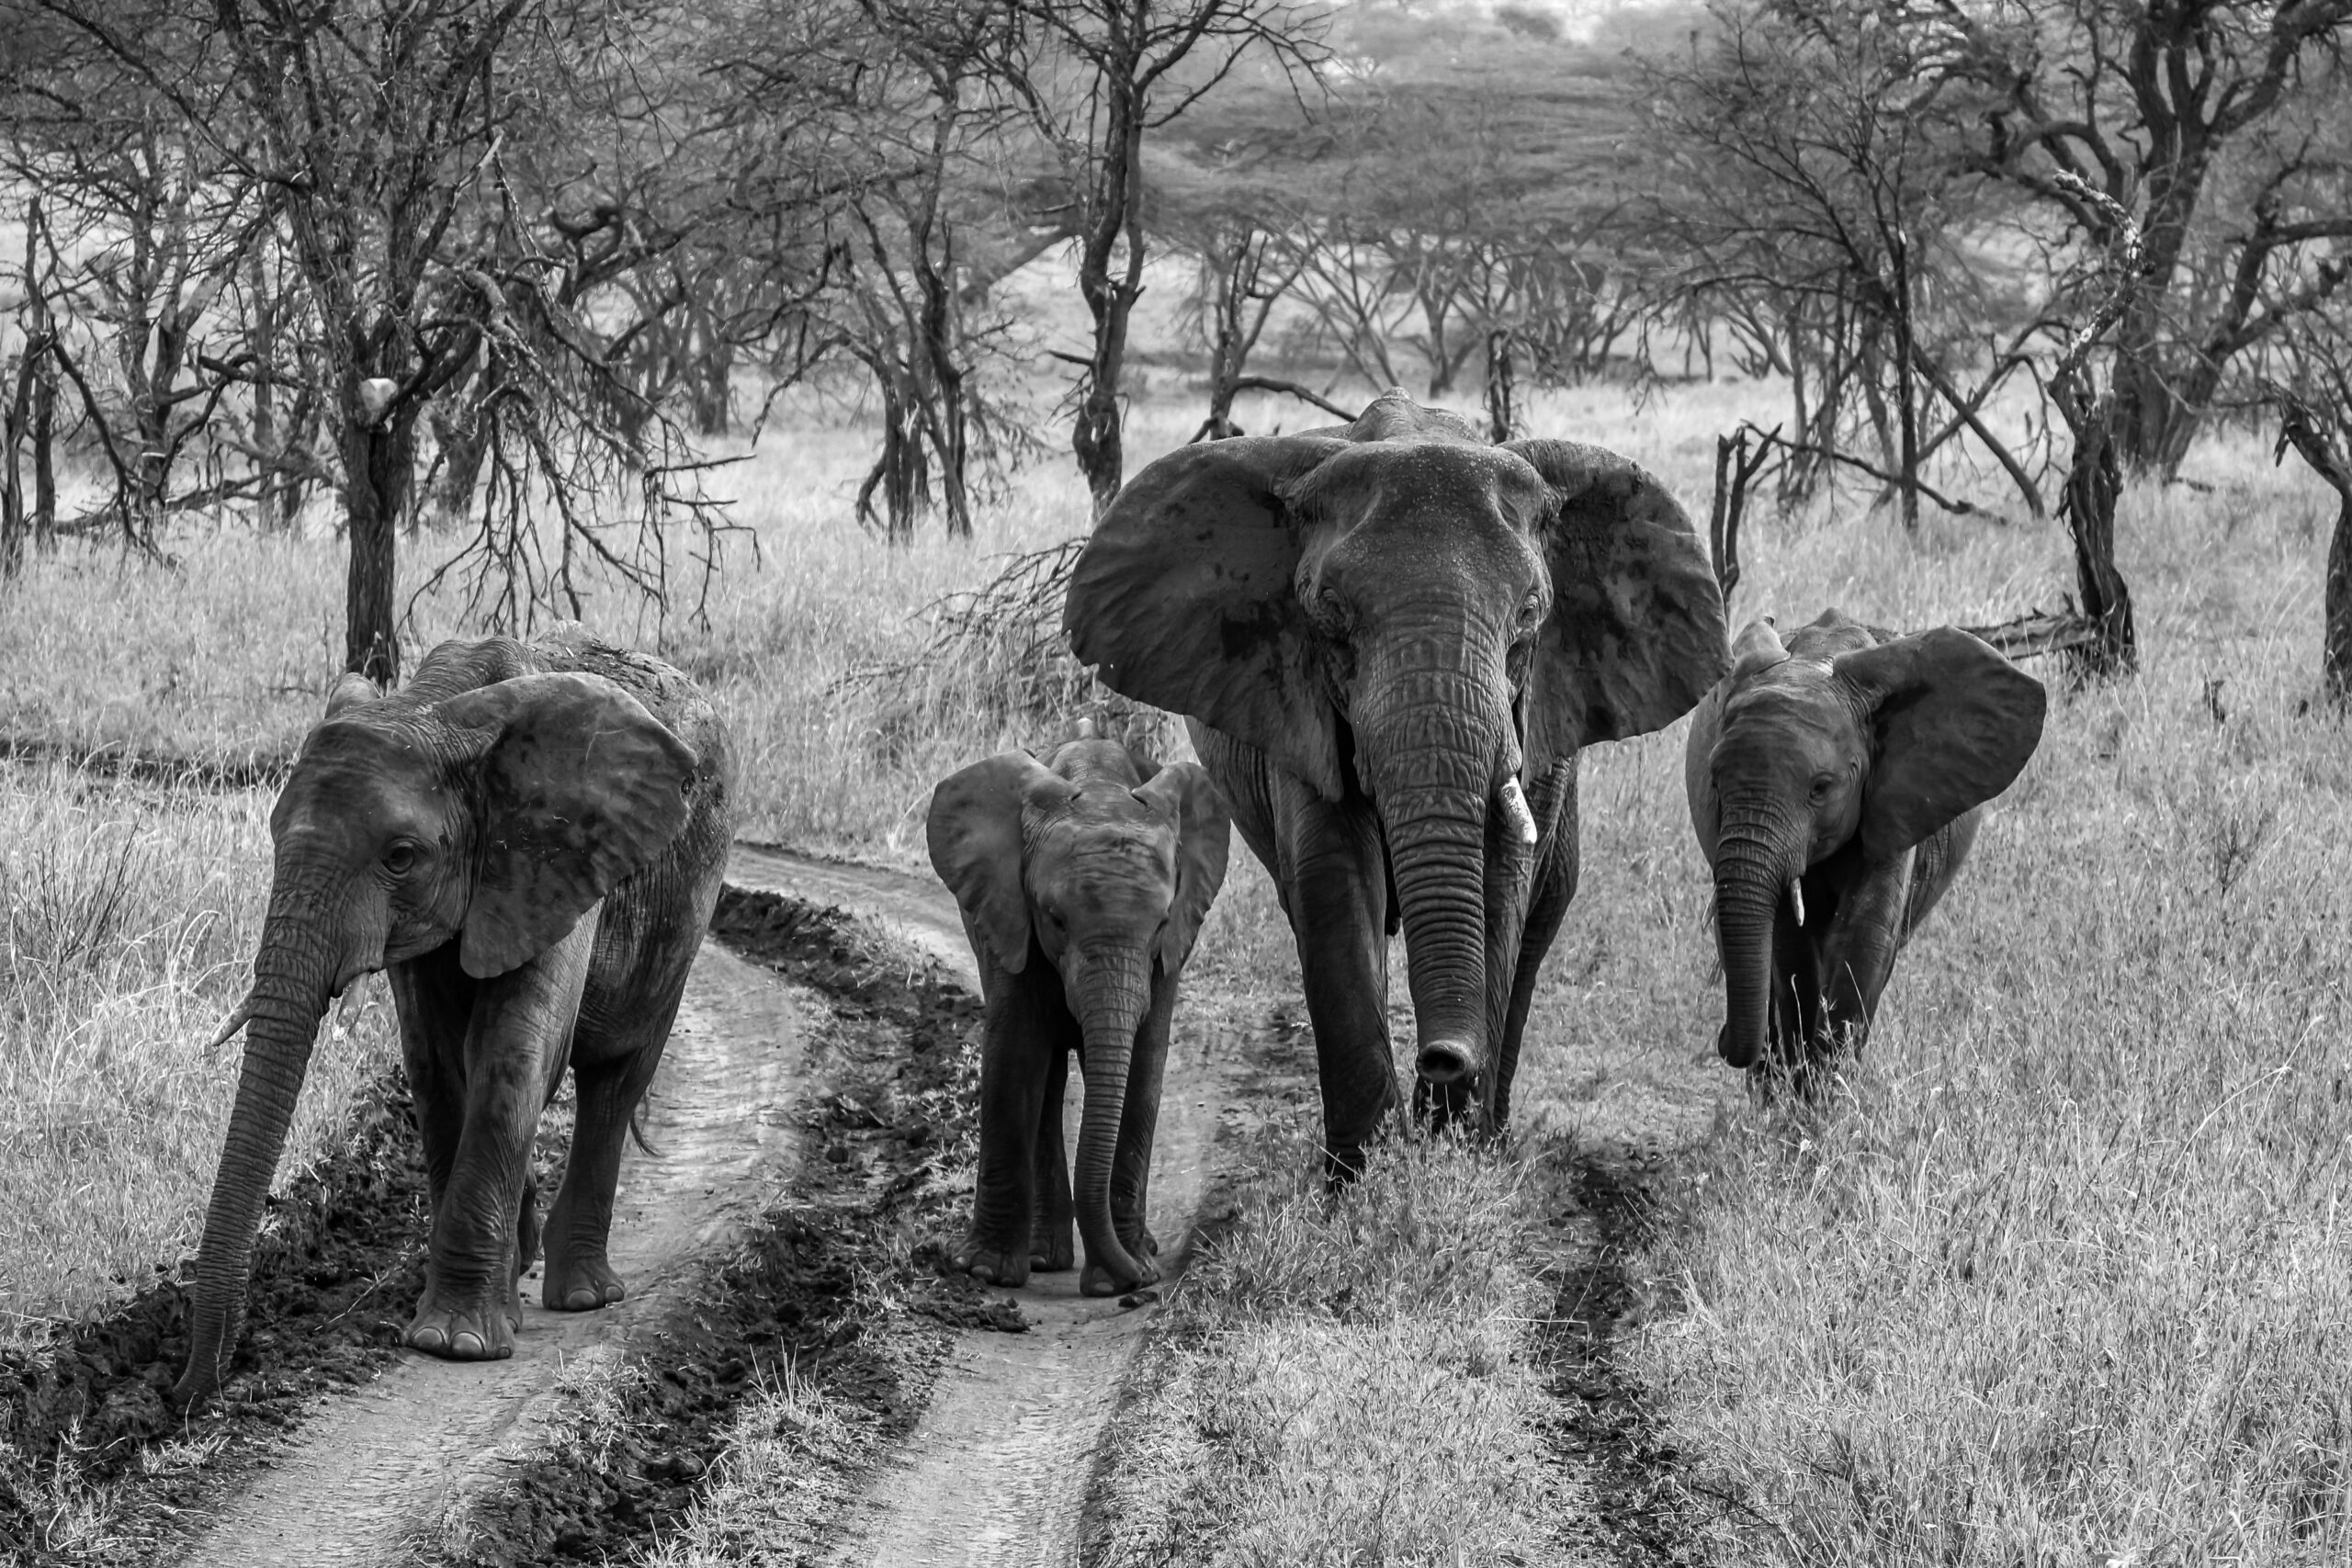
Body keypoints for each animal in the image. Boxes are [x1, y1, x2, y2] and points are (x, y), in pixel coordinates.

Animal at [174, 629, 729, 1410]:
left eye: (401, 856)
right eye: (275, 835)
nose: (190, 1395)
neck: (433, 709)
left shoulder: (556, 857)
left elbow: (514, 1048)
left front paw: (454, 1343)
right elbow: (433, 1060)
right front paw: (467, 1314)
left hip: (691, 898)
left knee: (616, 1076)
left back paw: (582, 1295)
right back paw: (522, 1266)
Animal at [931, 738, 1241, 1297]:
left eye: (1162, 921)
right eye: (1055, 920)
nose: (1140, 1285)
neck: (1099, 787)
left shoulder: (1170, 951)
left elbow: (1144, 1067)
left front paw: (1123, 1271)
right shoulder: (1009, 916)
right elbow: (1014, 1055)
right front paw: (985, 1272)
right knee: (1047, 1074)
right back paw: (1043, 1258)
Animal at [1068, 392, 1731, 1175]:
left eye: (1529, 618)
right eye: (1329, 617)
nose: (1444, 1056)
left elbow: (1503, 880)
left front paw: (1455, 1159)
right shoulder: (1297, 704)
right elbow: (1334, 879)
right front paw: (1363, 1177)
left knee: (1540, 918)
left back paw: (1493, 1134)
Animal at [1693, 611, 2041, 1081]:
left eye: (1820, 788)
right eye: (1715, 783)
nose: (1722, 1037)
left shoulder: (1893, 799)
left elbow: (1865, 934)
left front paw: (1828, 1090)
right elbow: (1789, 945)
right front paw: (1800, 1090)